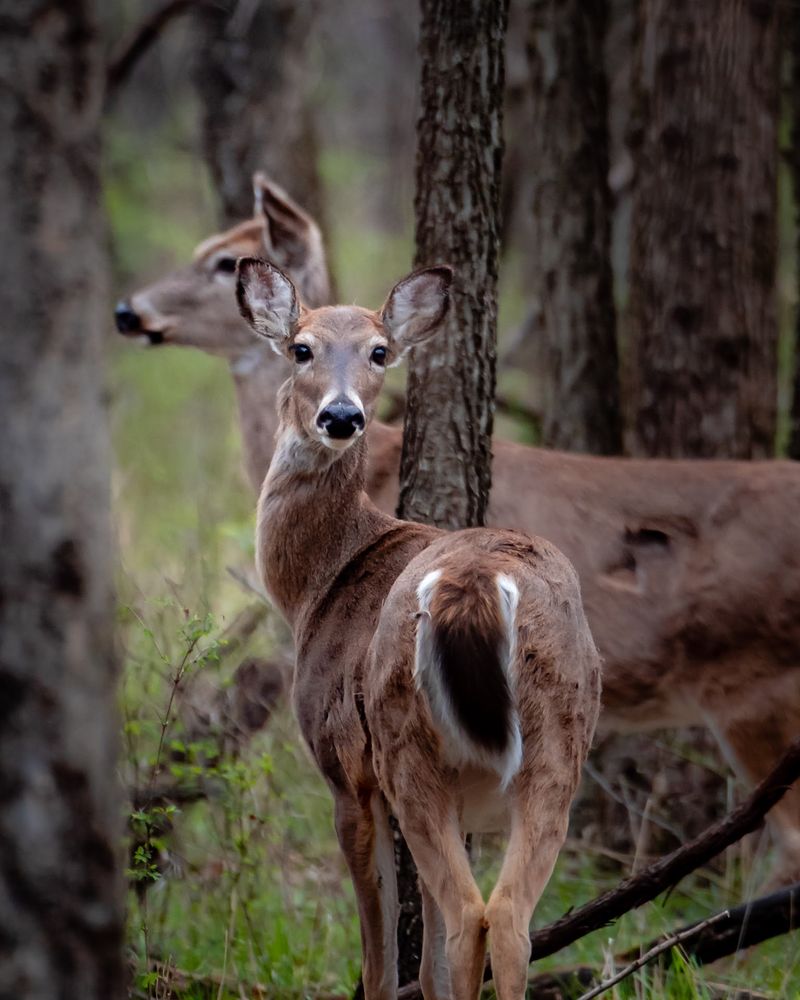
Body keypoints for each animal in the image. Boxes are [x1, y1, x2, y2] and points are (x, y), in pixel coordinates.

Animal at [235, 257, 602, 1000]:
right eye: (301, 348)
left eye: (380, 351)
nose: (341, 416)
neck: (319, 583)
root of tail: (480, 580)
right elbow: (427, 965)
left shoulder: (346, 770)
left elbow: (381, 963)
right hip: (558, 740)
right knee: (508, 919)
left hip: (406, 742)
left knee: (470, 917)